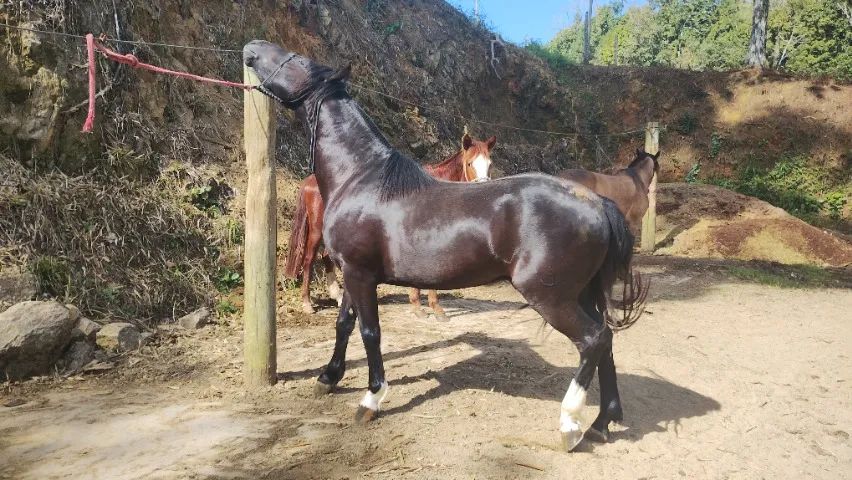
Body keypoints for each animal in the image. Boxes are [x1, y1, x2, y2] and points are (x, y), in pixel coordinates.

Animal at [284, 134, 497, 319]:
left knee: (326, 256)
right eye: (470, 163)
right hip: (317, 231)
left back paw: (337, 296)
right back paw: (307, 303)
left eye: (490, 164)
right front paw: (421, 308)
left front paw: (433, 308)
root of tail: (310, 180)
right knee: (309, 259)